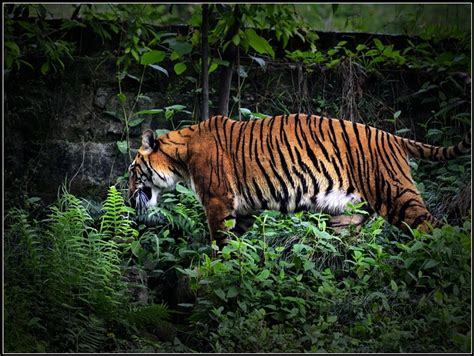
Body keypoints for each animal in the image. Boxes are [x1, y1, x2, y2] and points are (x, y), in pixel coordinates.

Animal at [128, 114, 472, 248]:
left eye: (132, 171)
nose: (129, 196)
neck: (180, 156)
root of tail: (392, 137)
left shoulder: (218, 202)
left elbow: (219, 241)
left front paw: (212, 269)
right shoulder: (242, 209)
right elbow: (237, 242)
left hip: (396, 195)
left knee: (434, 228)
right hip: (349, 215)